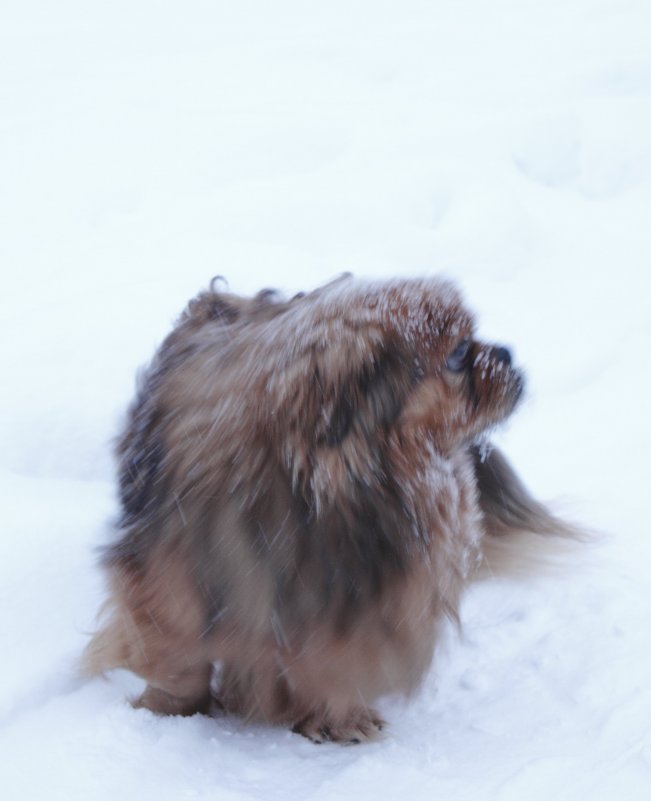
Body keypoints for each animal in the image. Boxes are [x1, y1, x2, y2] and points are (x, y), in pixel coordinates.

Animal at [84, 276, 580, 744]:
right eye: (458, 354)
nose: (506, 352)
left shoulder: (353, 608)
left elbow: (332, 667)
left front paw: (337, 719)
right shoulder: (169, 580)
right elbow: (178, 660)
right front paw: (167, 711)